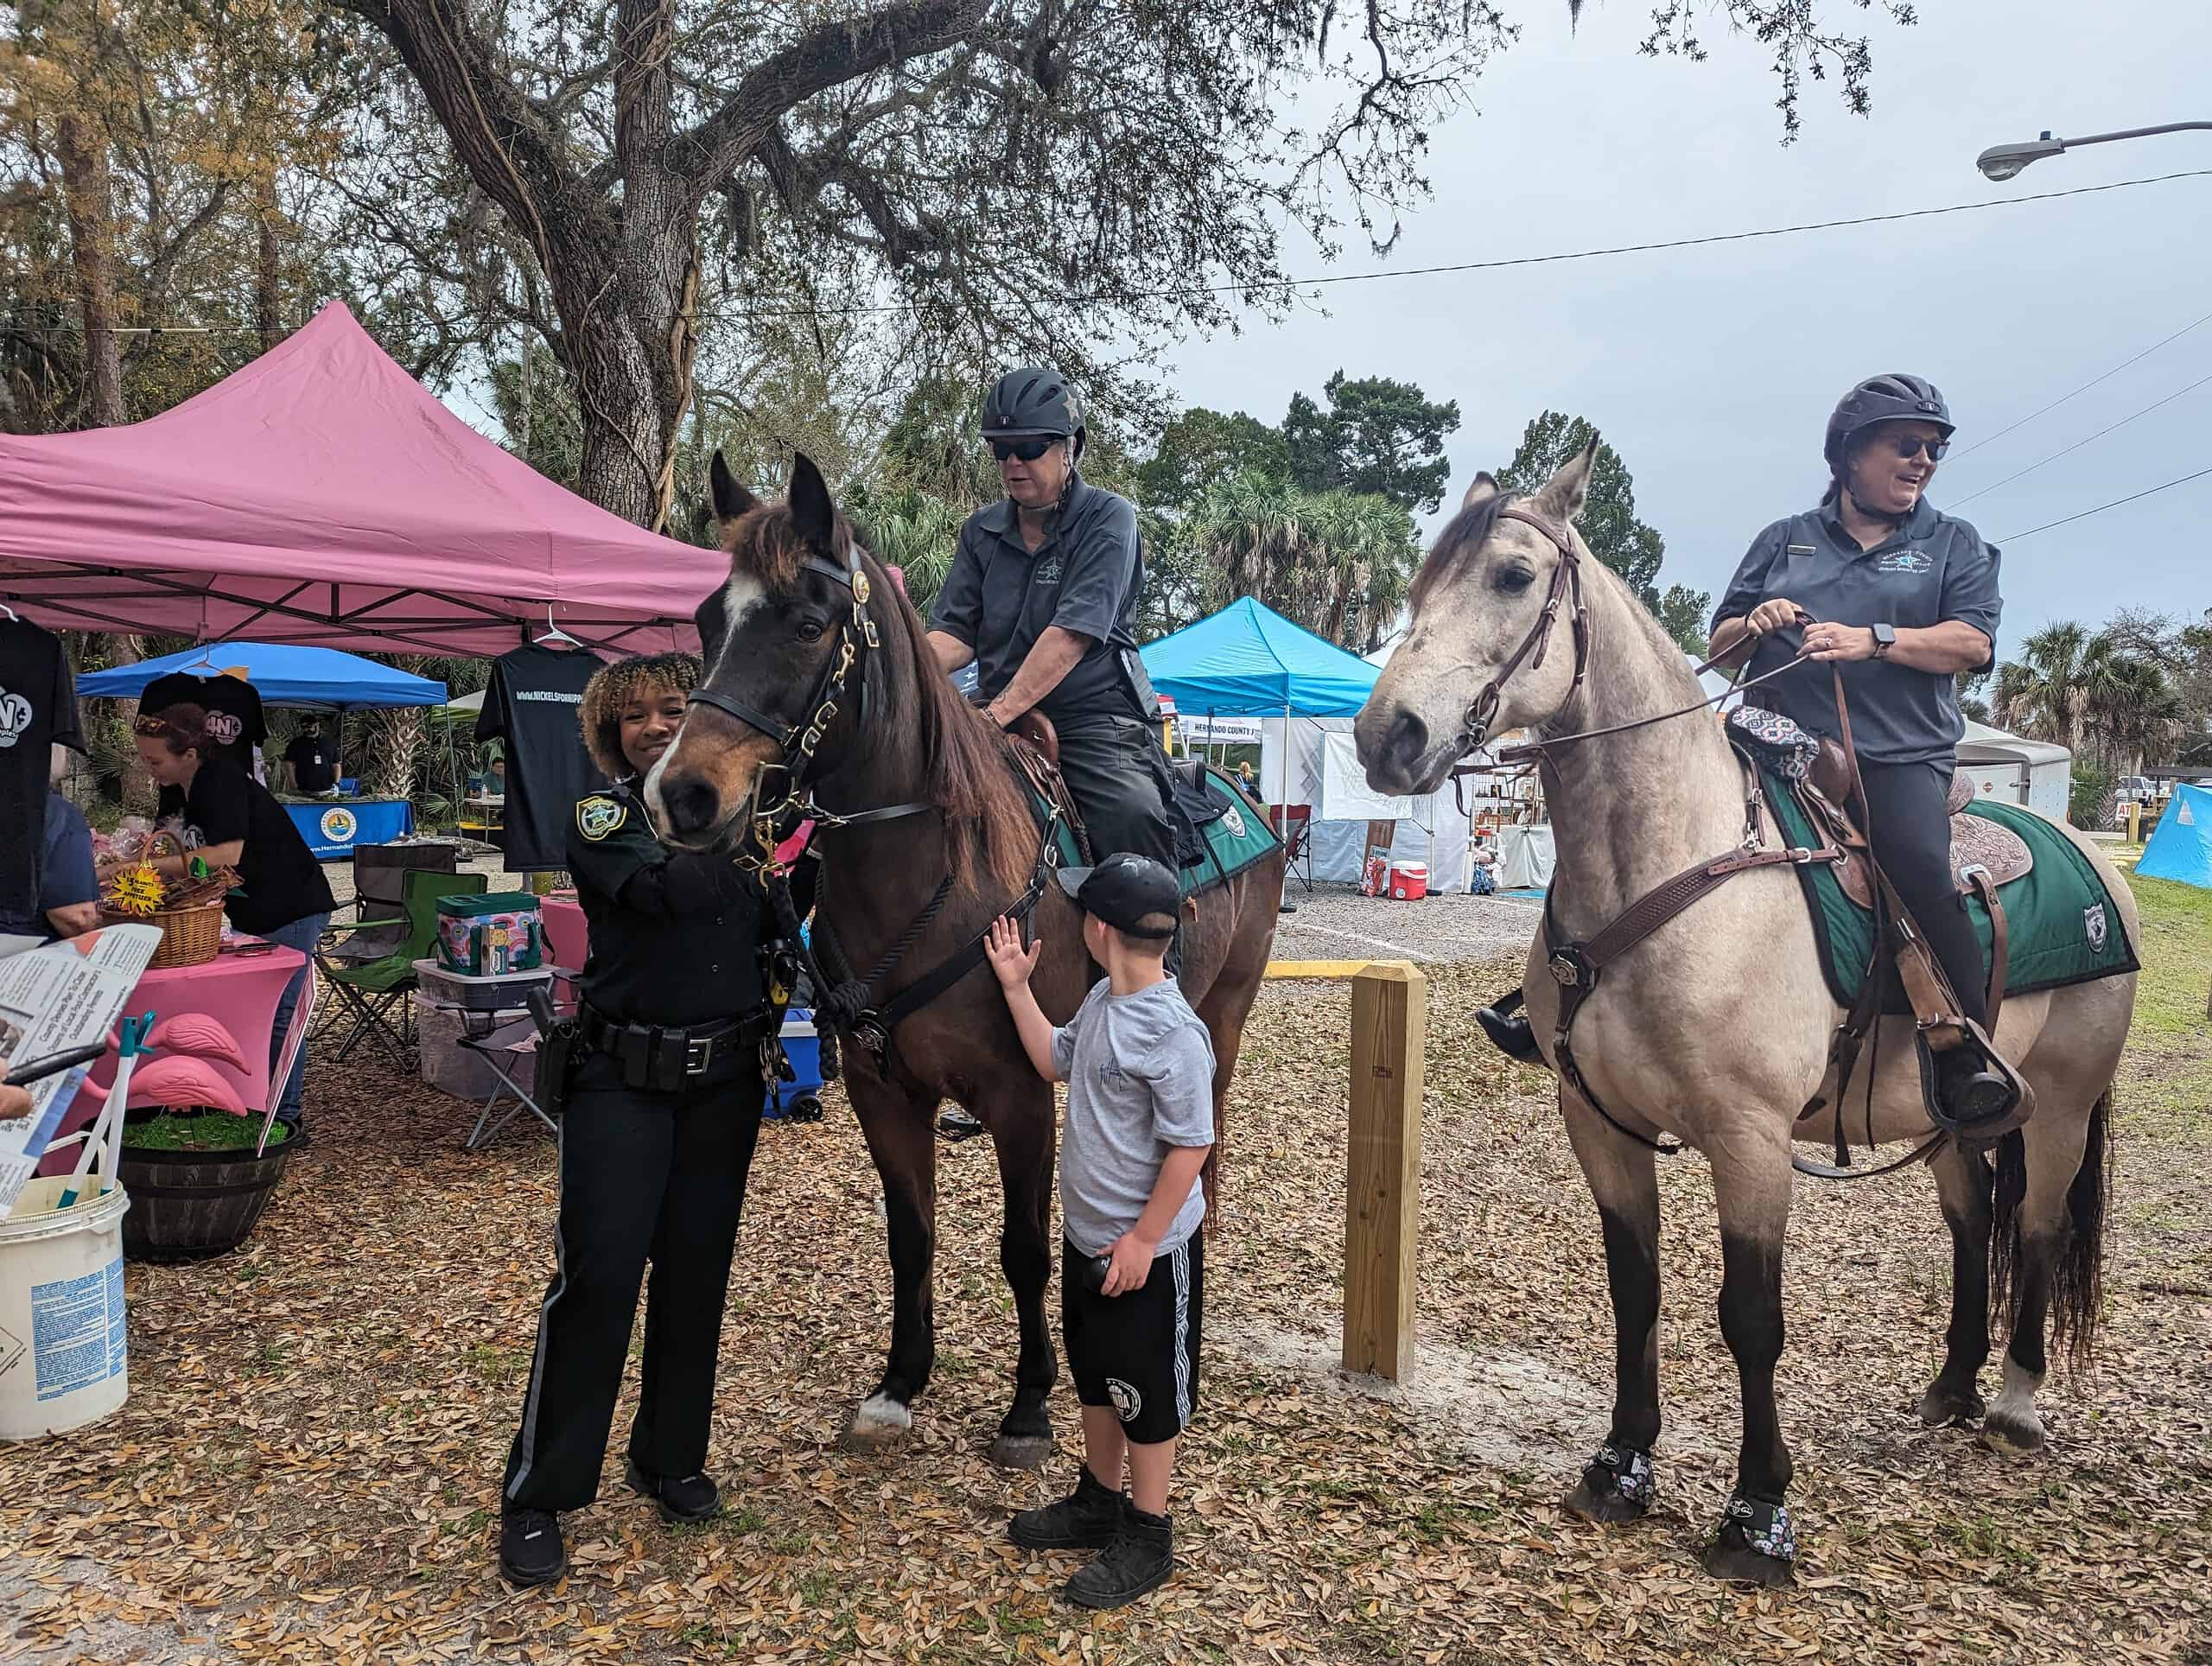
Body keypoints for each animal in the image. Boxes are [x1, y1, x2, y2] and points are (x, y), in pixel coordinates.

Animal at [645, 455, 1292, 1469]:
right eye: (710, 621)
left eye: (806, 623)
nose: (681, 795)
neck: (936, 871)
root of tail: (1238, 788)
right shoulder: (884, 1091)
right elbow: (911, 1237)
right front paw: (899, 1382)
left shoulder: (1020, 1092)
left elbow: (1021, 1249)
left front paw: (1029, 1405)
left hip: (1223, 1012)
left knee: (1209, 1129)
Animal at [1353, 442, 2132, 1584]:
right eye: (1414, 584)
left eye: (1511, 575)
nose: (1386, 735)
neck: (1670, 873)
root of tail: (2086, 852)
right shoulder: (1600, 1125)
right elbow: (1634, 1289)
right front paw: (1620, 1464)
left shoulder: (1750, 1140)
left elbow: (1752, 1318)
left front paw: (1757, 1512)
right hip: (1950, 1114)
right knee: (1971, 1213)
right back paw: (1951, 1384)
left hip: (2064, 1104)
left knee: (2032, 1228)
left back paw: (2016, 1401)